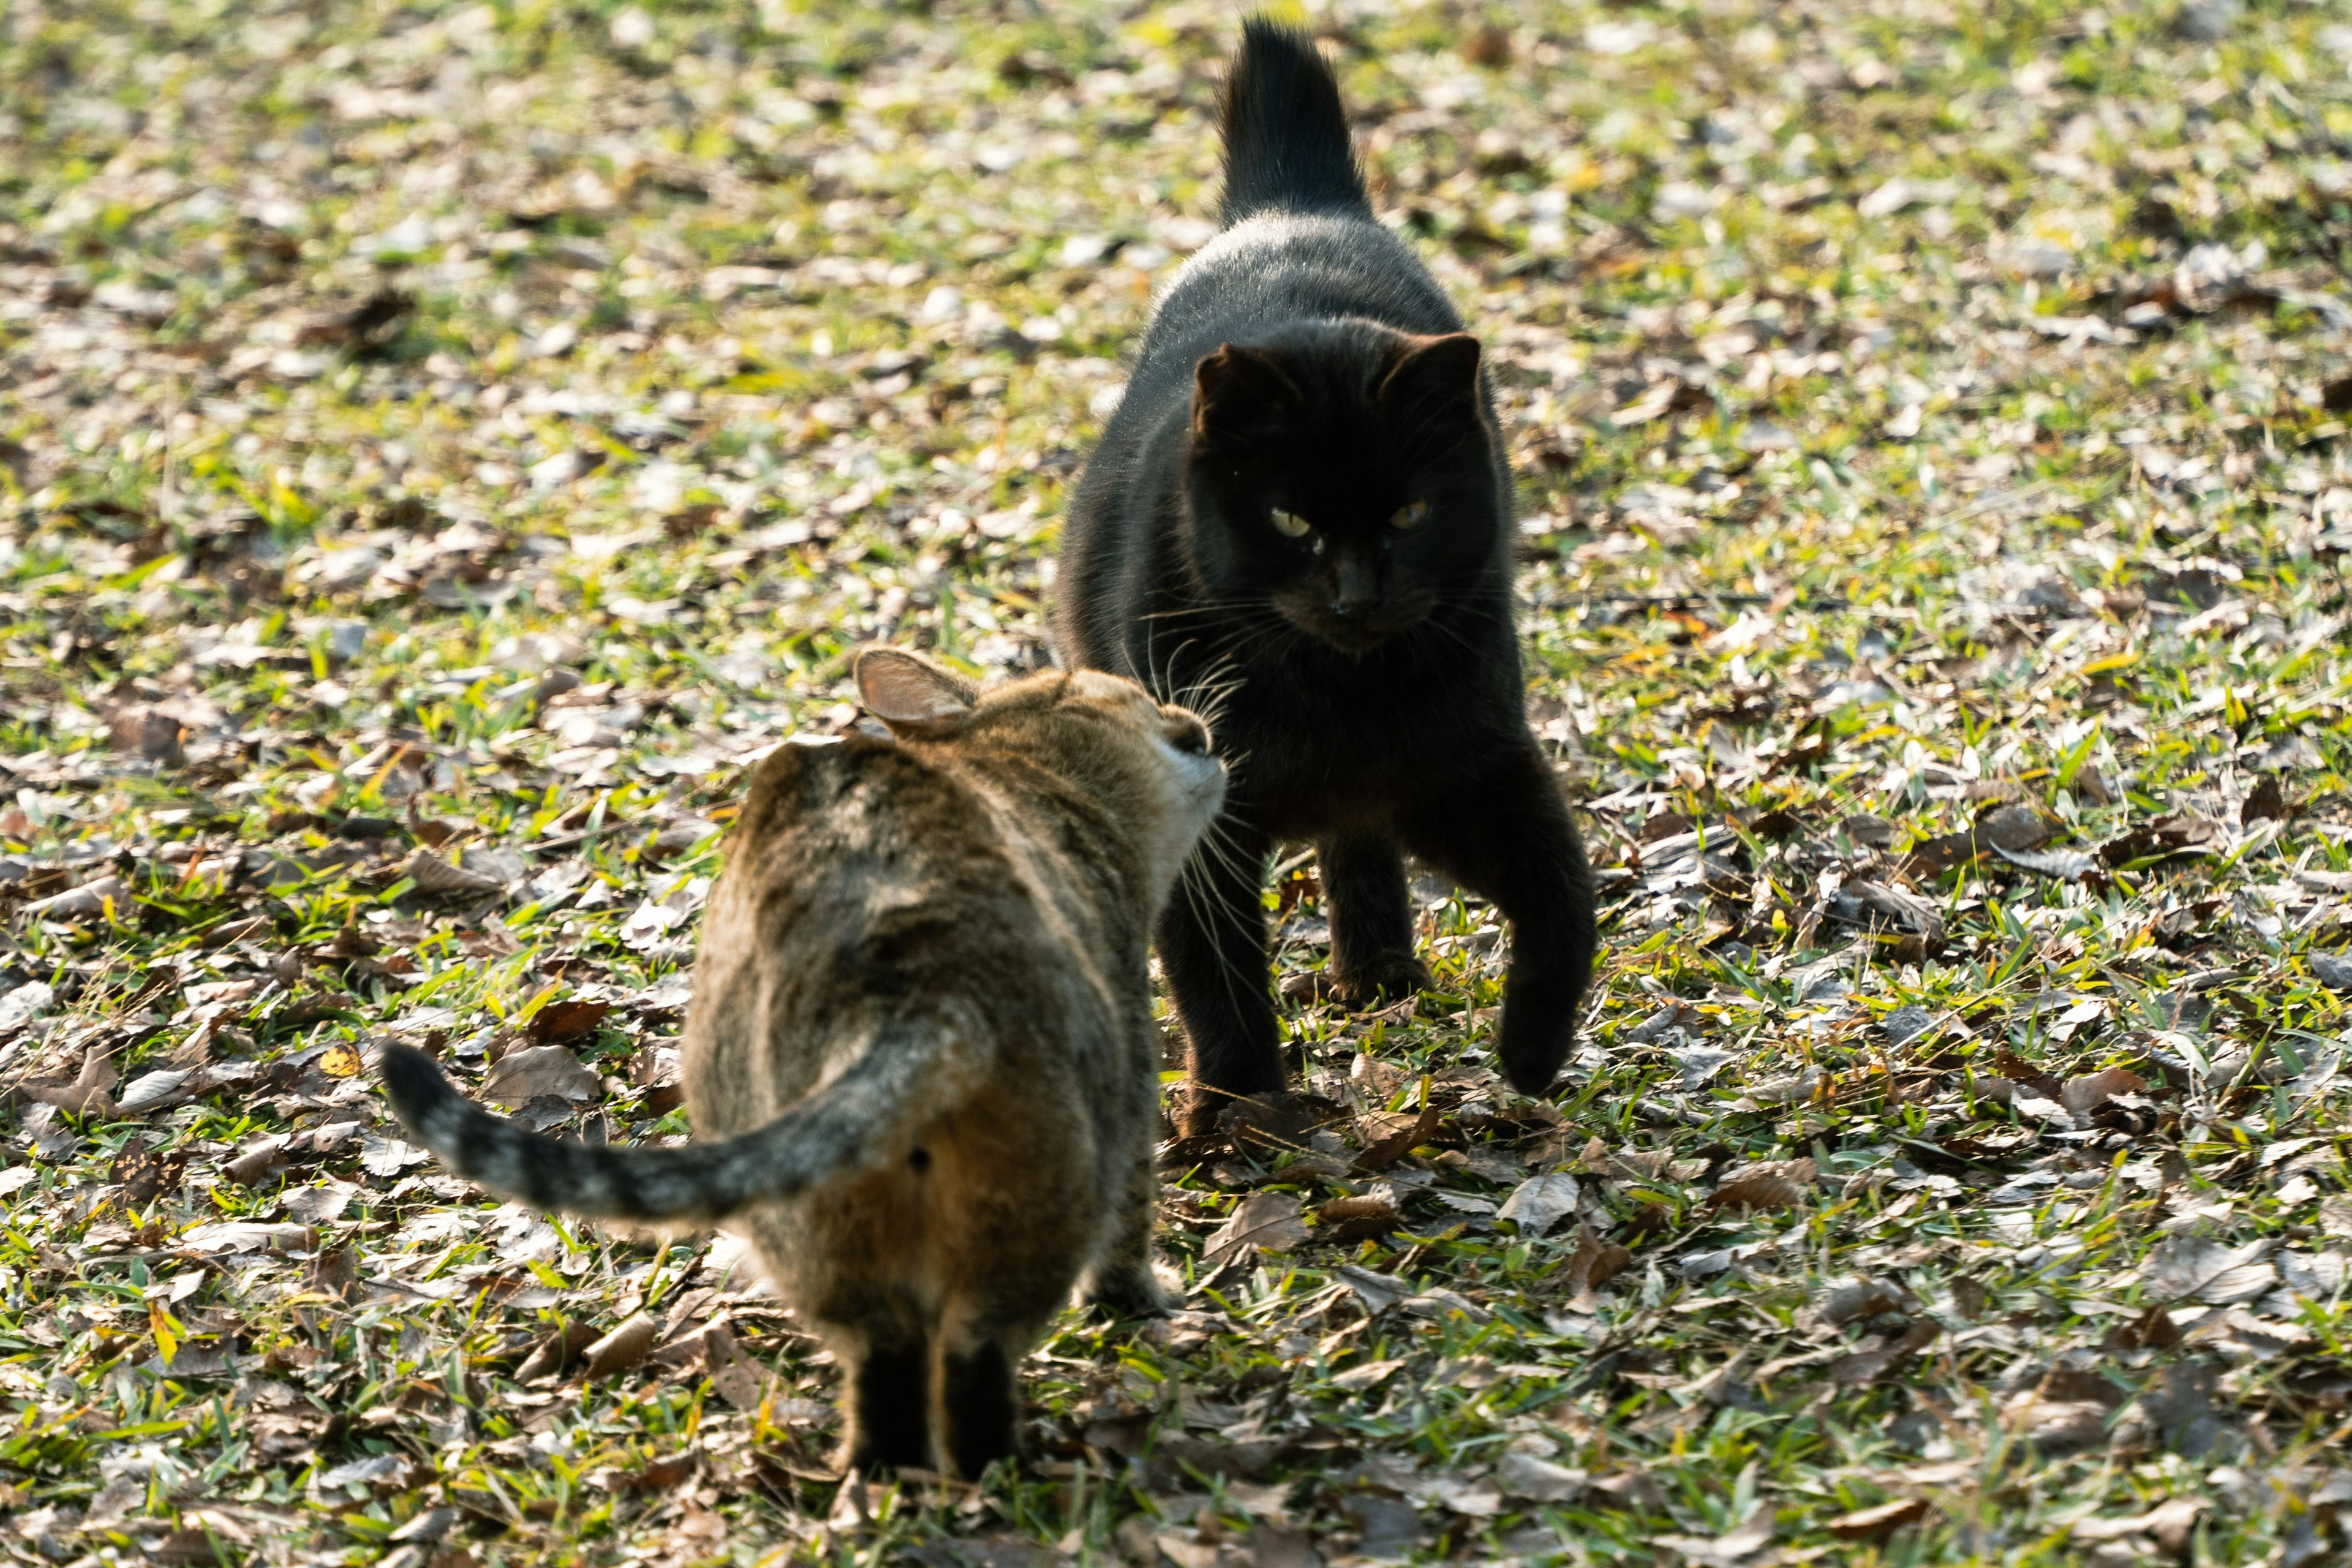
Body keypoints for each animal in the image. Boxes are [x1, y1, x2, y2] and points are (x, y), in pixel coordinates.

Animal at [1063, 18, 1599, 1133]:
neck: (1333, 698)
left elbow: (1567, 892)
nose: (1358, 594)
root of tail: (1298, 207)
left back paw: (1382, 975)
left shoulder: (1473, 766)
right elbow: (1216, 970)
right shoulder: (1203, 818)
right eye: (1290, 519)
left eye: (1408, 515)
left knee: (1361, 844)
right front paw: (1238, 1111)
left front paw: (1532, 1052)